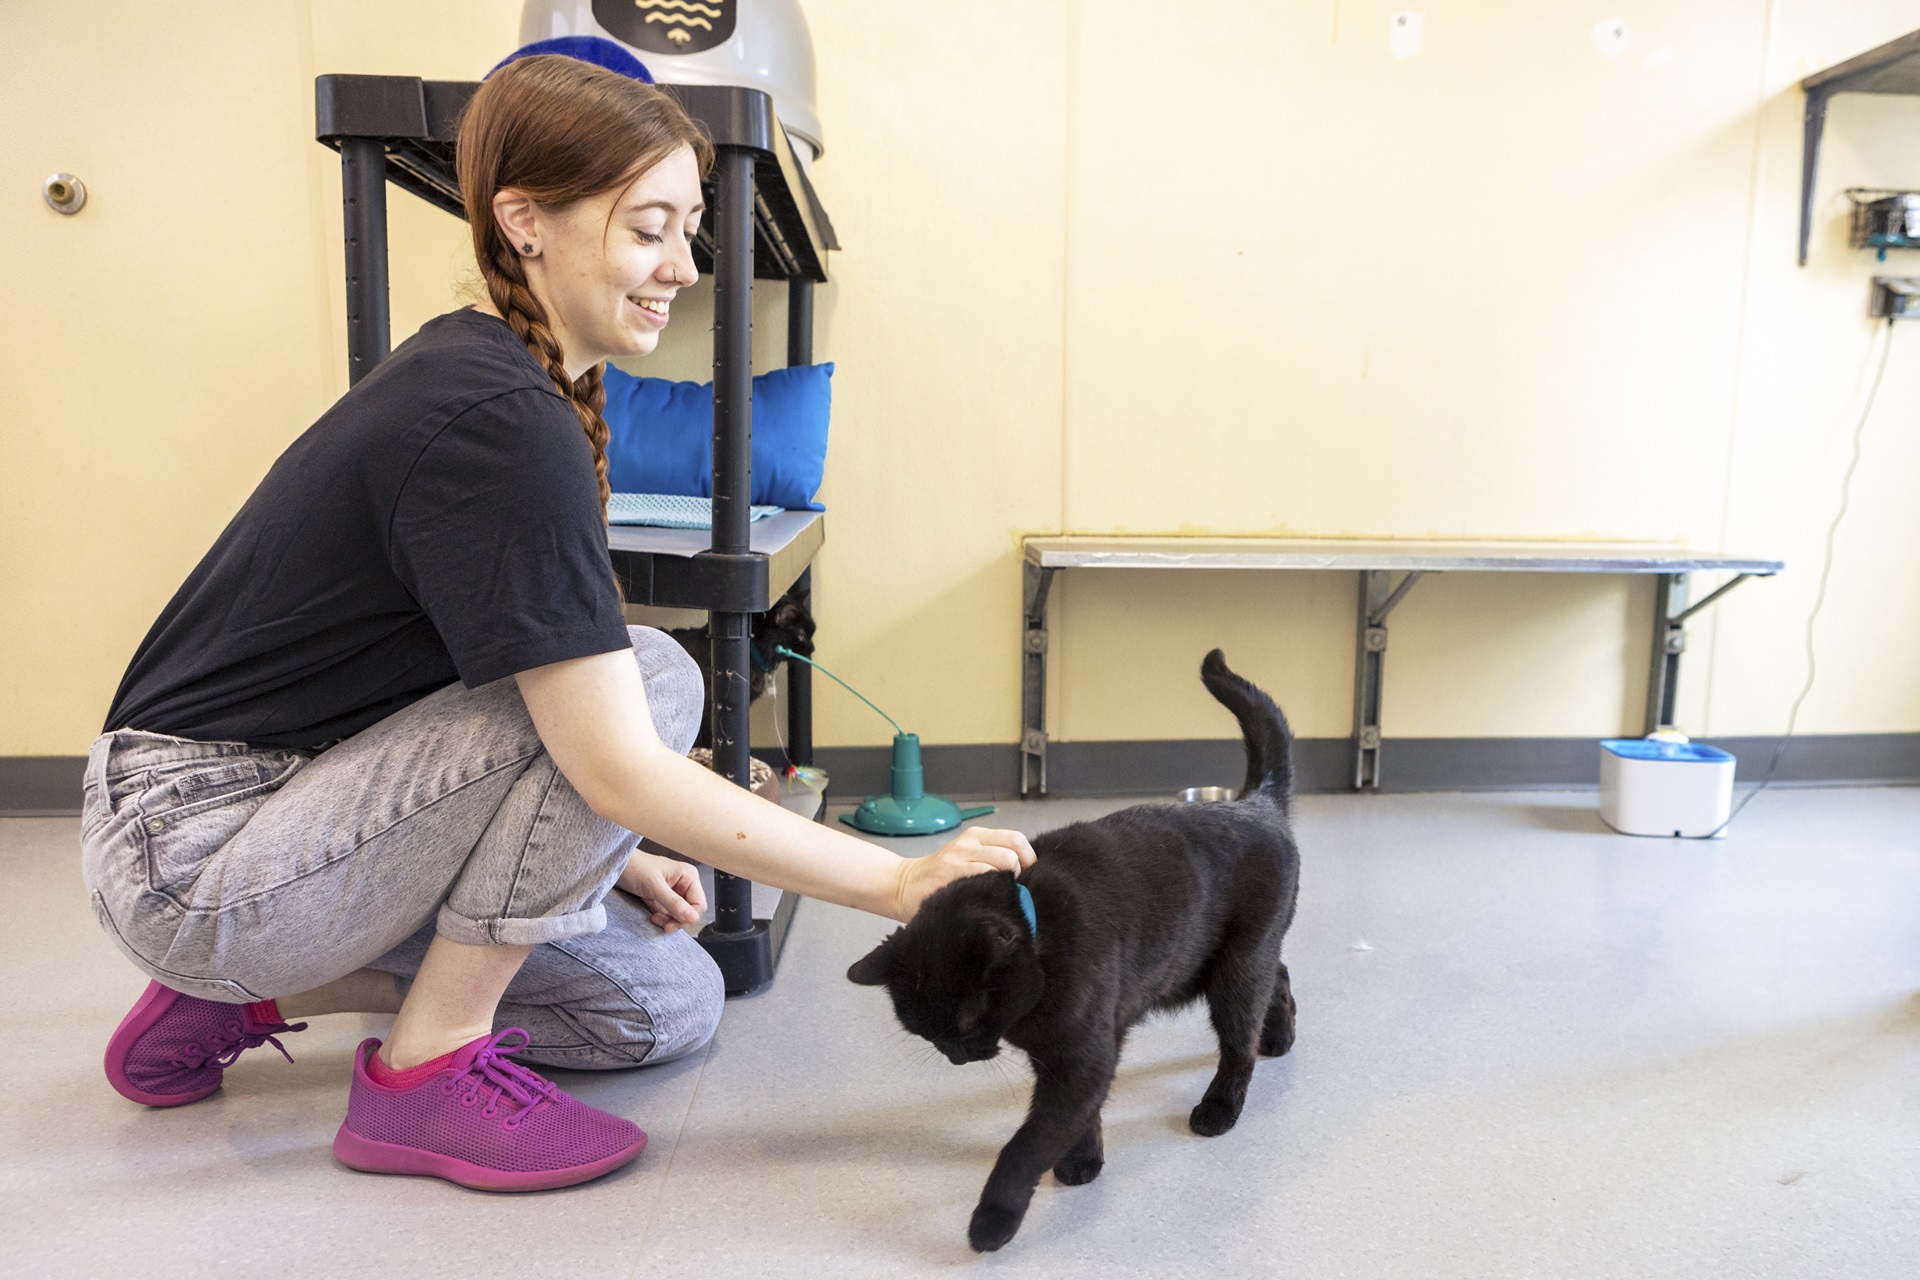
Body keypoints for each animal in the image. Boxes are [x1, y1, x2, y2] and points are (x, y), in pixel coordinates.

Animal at [848, 652, 1297, 1251]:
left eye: (964, 1023)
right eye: (925, 1034)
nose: (956, 1056)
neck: (1041, 936)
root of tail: (1257, 803)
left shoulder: (1079, 1060)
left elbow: (1025, 1146)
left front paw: (993, 1220)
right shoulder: (1071, 1061)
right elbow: (1083, 1118)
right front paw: (1083, 1161)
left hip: (1232, 972)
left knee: (1238, 1042)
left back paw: (1220, 1106)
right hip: (1207, 963)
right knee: (1280, 976)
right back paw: (1280, 1036)